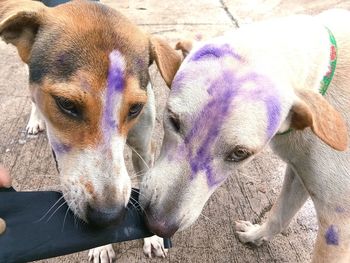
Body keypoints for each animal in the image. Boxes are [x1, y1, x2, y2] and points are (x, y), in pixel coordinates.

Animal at [0, 0, 180, 262]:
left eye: (135, 108)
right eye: (66, 104)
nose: (109, 217)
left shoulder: (144, 148)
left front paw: (153, 238)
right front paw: (101, 245)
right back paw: (35, 120)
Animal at [140, 9, 350, 262]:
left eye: (240, 153)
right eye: (172, 120)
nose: (157, 225)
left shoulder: (338, 222)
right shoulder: (300, 173)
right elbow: (280, 214)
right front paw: (256, 235)